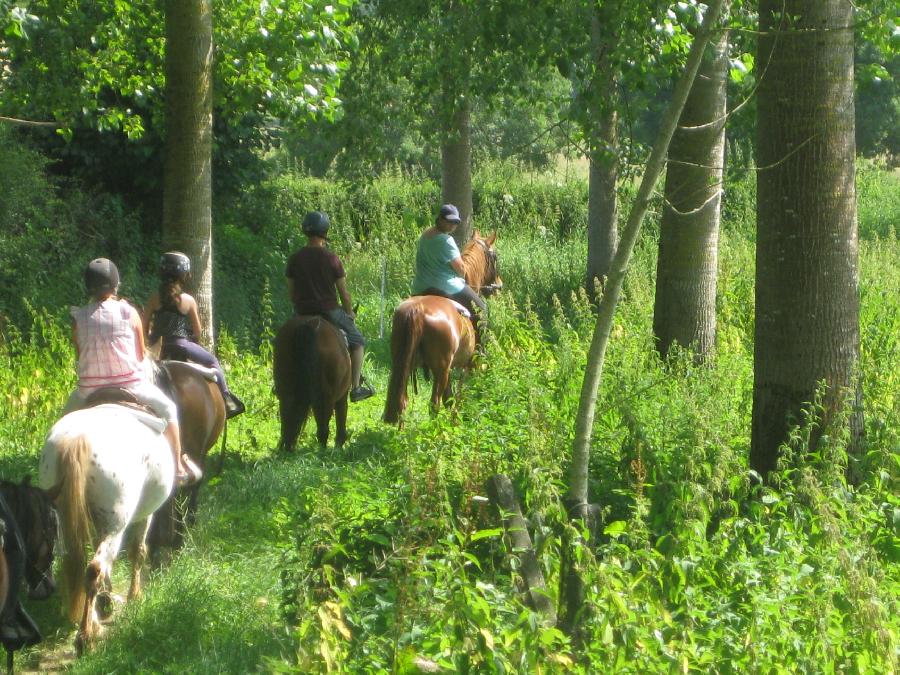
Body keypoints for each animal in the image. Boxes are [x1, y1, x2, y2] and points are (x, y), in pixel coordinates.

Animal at [272, 316, 350, 448]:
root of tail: (308, 324)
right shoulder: (342, 395)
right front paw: (339, 443)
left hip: (286, 388)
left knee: (287, 420)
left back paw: (287, 447)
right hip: (325, 396)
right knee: (323, 428)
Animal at [384, 230, 502, 426]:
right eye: (495, 257)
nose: (498, 286)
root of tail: (417, 310)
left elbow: (451, 398)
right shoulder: (468, 365)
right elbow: (458, 395)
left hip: (403, 364)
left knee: (402, 400)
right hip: (441, 369)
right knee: (434, 404)